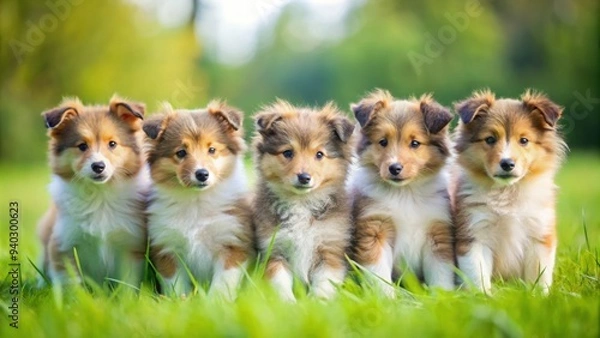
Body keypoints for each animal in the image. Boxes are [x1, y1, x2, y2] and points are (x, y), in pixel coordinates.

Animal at [37, 95, 149, 288]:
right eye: (82, 146)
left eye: (112, 144)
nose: (98, 166)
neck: (100, 195)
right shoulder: (63, 244)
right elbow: (70, 283)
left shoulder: (130, 244)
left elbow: (127, 282)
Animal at [145, 100, 253, 298]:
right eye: (181, 153)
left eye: (212, 150)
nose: (202, 174)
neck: (196, 202)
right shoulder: (167, 247)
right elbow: (176, 285)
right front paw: (179, 301)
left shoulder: (233, 242)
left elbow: (222, 283)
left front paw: (216, 301)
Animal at [253, 99, 356, 302]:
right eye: (287, 153)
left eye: (319, 154)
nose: (304, 177)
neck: (301, 202)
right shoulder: (274, 250)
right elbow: (280, 283)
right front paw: (288, 303)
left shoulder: (331, 250)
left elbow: (324, 283)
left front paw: (318, 302)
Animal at [346, 88, 454, 294]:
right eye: (383, 142)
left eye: (415, 143)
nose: (394, 168)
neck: (405, 193)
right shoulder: (374, 231)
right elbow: (379, 275)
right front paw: (386, 297)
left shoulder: (438, 232)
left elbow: (441, 274)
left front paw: (443, 297)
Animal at [454, 90, 568, 294]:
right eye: (490, 139)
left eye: (524, 140)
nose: (507, 164)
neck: (507, 191)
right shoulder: (474, 235)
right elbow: (477, 275)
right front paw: (483, 296)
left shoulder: (539, 235)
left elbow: (539, 276)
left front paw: (539, 297)